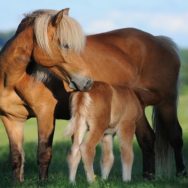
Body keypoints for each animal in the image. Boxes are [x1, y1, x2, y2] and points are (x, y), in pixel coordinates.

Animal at [0, 8, 186, 181]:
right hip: (135, 110)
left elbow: (44, 153)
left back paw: (180, 174)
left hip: (167, 104)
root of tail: (161, 41)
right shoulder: (11, 119)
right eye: (65, 45)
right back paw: (148, 177)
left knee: (175, 136)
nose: (87, 82)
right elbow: (16, 157)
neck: (16, 79)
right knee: (147, 138)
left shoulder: (45, 115)